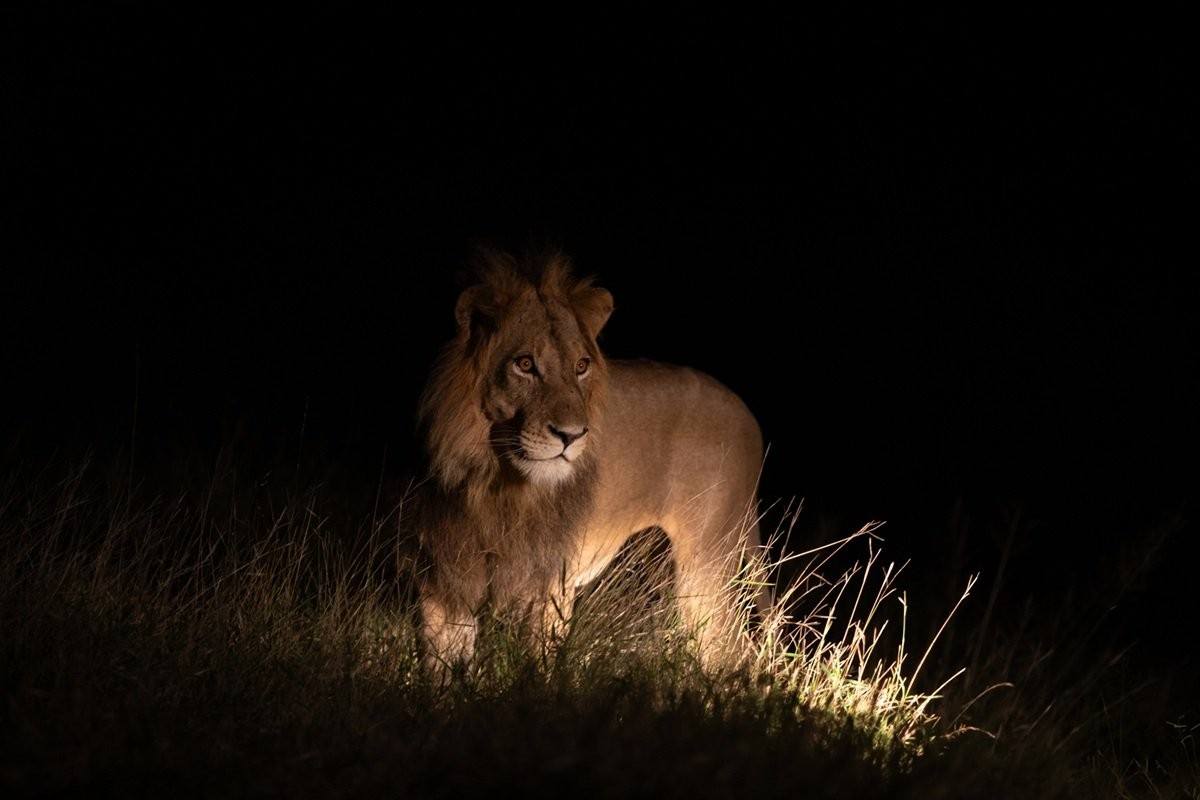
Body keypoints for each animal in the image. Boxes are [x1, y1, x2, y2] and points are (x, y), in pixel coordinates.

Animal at [415, 249, 769, 671]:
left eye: (581, 366)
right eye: (524, 364)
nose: (571, 436)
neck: (495, 477)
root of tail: (748, 416)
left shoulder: (552, 580)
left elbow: (534, 665)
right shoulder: (444, 572)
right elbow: (441, 662)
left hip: (706, 561)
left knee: (730, 648)